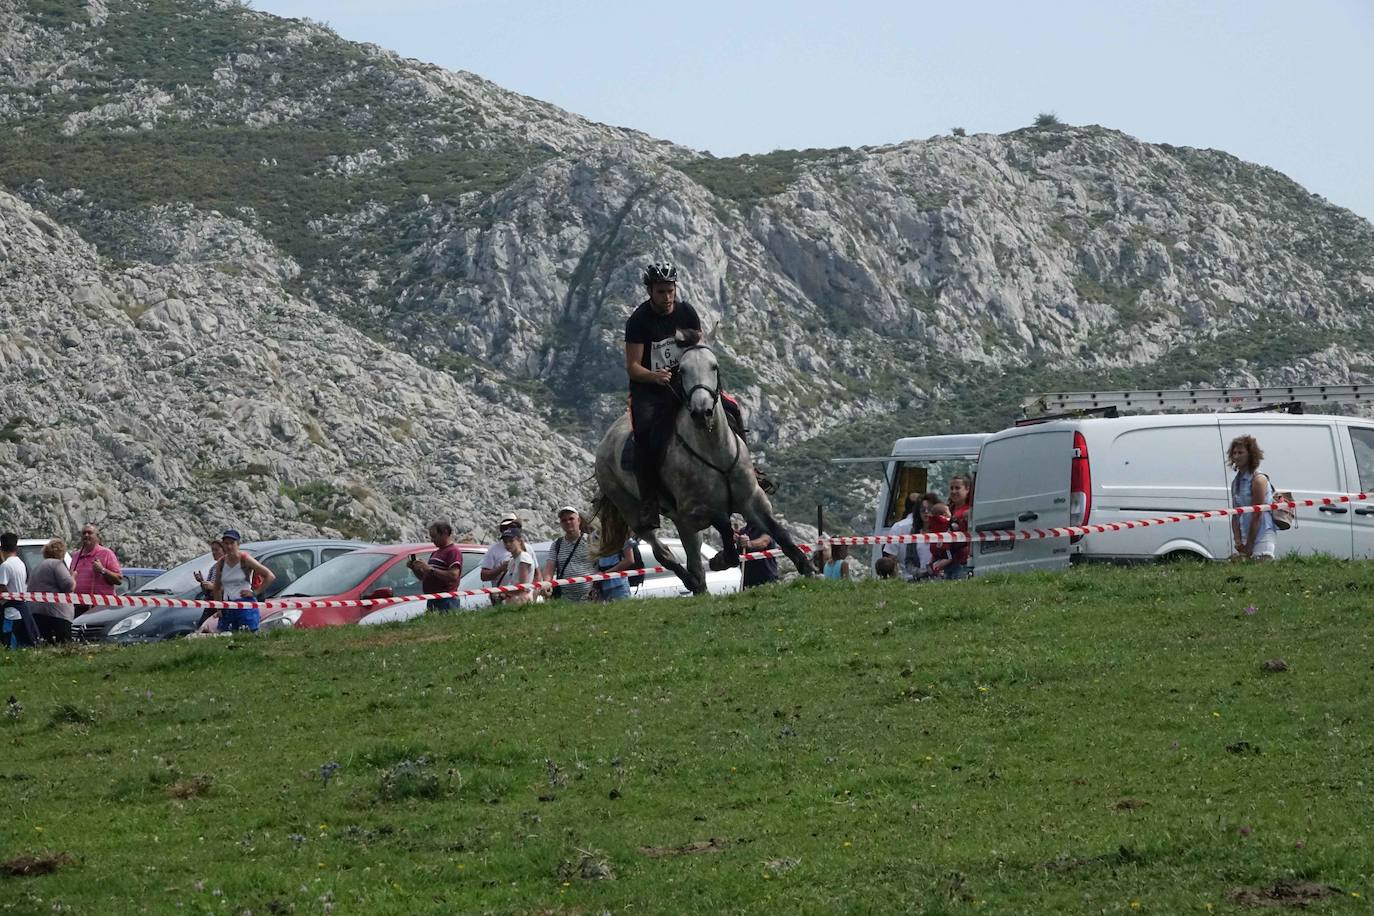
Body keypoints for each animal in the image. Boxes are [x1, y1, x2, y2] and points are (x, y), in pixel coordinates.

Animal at [593, 336, 813, 596]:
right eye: (682, 370)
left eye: (714, 366)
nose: (702, 412)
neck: (715, 451)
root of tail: (606, 441)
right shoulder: (696, 510)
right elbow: (724, 526)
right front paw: (721, 559)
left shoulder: (752, 498)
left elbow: (779, 532)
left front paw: (807, 567)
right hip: (633, 509)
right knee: (663, 552)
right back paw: (691, 581)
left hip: (679, 520)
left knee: (693, 558)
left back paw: (699, 585)